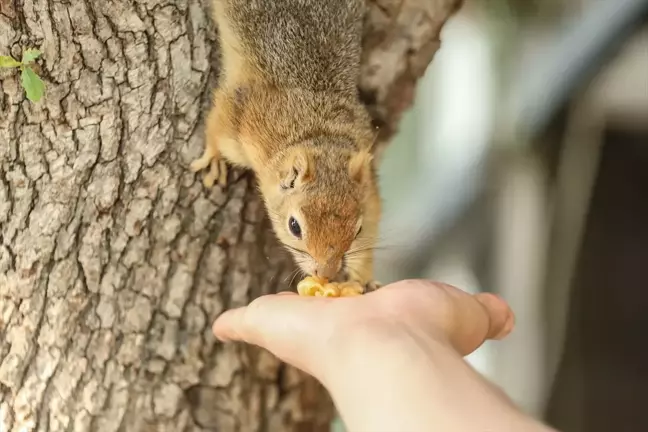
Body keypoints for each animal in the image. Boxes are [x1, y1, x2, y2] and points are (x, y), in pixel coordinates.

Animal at [192, 0, 382, 292]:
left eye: (357, 230)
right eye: (294, 226)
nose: (325, 273)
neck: (318, 132)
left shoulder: (367, 185)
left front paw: (365, 277)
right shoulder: (245, 115)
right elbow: (217, 128)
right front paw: (213, 159)